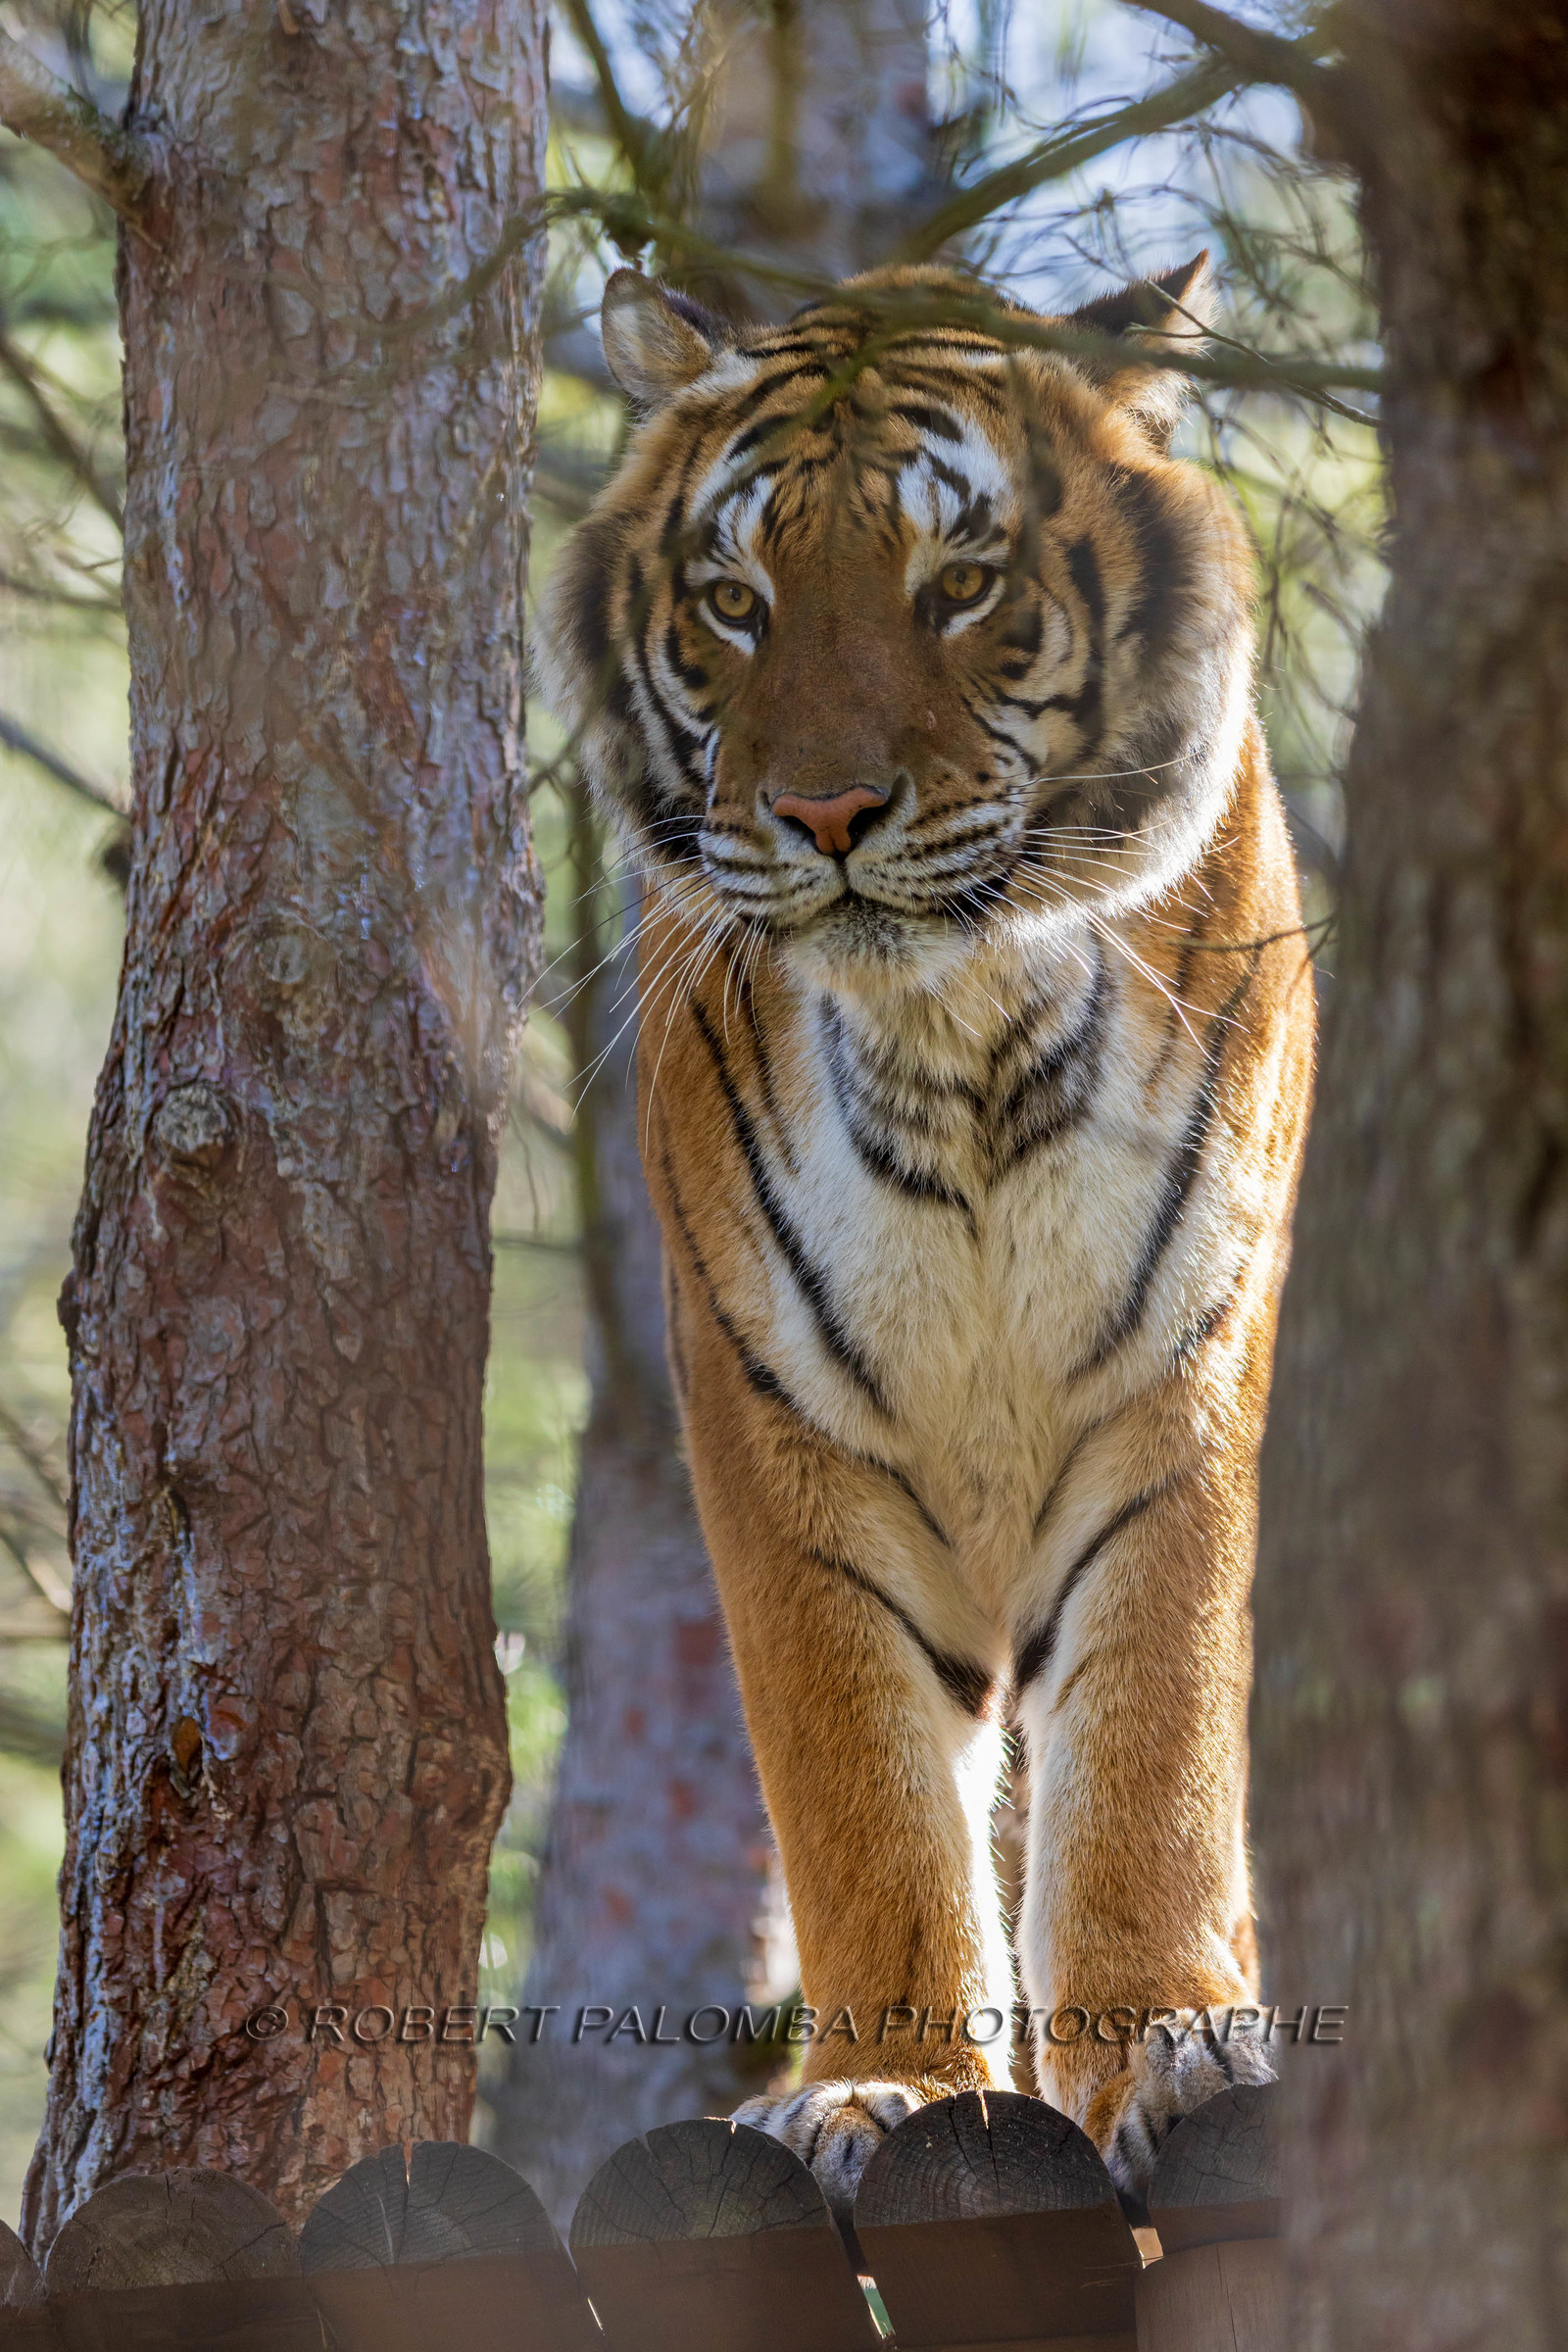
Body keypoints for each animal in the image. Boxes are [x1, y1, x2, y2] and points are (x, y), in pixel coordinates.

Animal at [541, 253, 1315, 2220]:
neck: (961, 1039)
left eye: (959, 586)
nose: (824, 812)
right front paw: (881, 2090)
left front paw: (1175, 2045)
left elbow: (1154, 1731)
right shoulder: (772, 1407)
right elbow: (860, 1780)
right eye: (734, 605)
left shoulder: (1179, 1377)